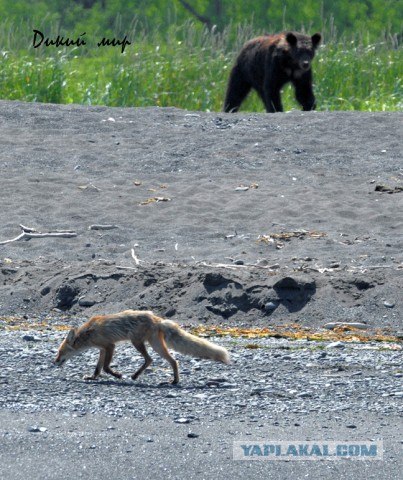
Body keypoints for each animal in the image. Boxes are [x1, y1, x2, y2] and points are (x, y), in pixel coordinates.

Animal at [54, 310, 230, 384]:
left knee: (159, 360)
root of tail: (157, 319)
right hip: (152, 344)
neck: (89, 333)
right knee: (163, 360)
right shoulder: (103, 349)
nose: (54, 362)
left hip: (138, 343)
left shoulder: (110, 345)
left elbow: (105, 367)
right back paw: (139, 376)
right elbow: (98, 368)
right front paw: (92, 378)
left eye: (60, 352)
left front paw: (117, 375)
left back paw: (173, 381)